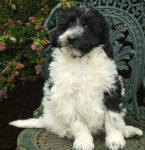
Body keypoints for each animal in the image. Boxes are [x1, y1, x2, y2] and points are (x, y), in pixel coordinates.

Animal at [10, 5, 143, 149]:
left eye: (87, 26)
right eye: (68, 25)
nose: (71, 38)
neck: (81, 60)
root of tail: (45, 119)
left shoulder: (112, 87)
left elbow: (113, 117)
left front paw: (115, 140)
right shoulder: (65, 96)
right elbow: (77, 121)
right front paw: (83, 142)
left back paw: (128, 130)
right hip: (52, 111)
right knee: (56, 127)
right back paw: (68, 132)